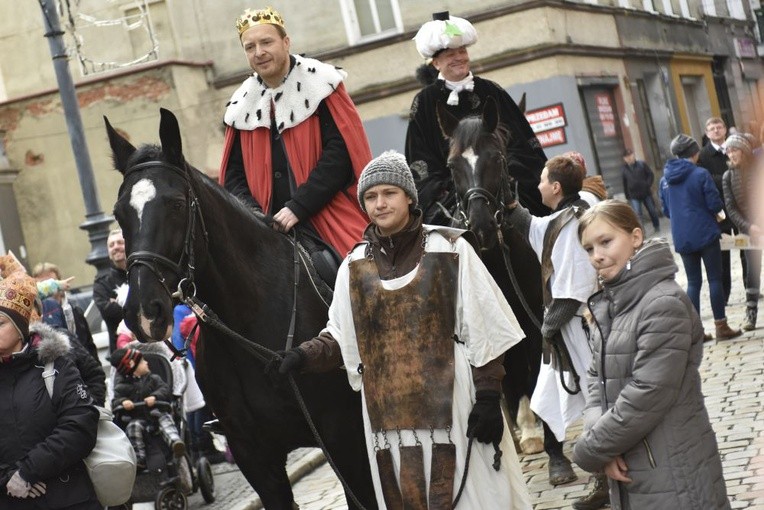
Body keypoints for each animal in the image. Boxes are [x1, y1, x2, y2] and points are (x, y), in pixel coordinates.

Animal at [436, 98, 572, 482]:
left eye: (496, 157)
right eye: (452, 165)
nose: (481, 225)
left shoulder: (532, 320)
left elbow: (536, 371)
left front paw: (555, 454)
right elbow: (505, 373)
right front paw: (523, 430)